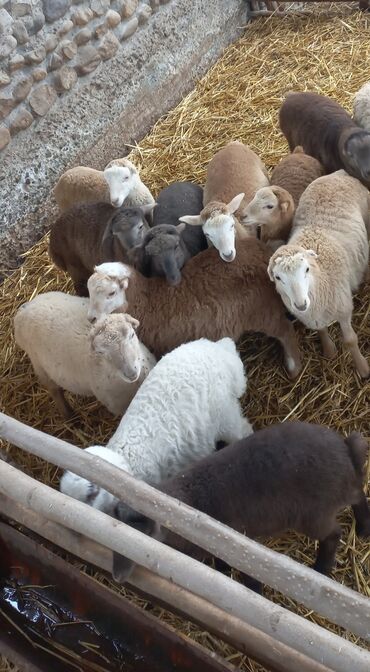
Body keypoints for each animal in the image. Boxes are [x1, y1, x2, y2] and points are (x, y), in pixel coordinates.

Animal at [13, 292, 156, 418]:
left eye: (132, 334)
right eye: (101, 352)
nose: (131, 373)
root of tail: (25, 307)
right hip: (39, 365)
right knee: (54, 390)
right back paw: (69, 415)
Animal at [112, 422, 370, 584]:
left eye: (142, 537)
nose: (116, 577)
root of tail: (345, 450)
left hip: (314, 515)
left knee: (334, 533)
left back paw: (322, 568)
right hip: (340, 492)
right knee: (359, 491)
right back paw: (363, 527)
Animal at [268, 168, 368, 378]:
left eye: (306, 269)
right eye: (278, 278)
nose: (300, 304)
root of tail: (338, 173)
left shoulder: (343, 307)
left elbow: (350, 340)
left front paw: (363, 369)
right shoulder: (314, 316)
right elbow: (321, 330)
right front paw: (329, 351)